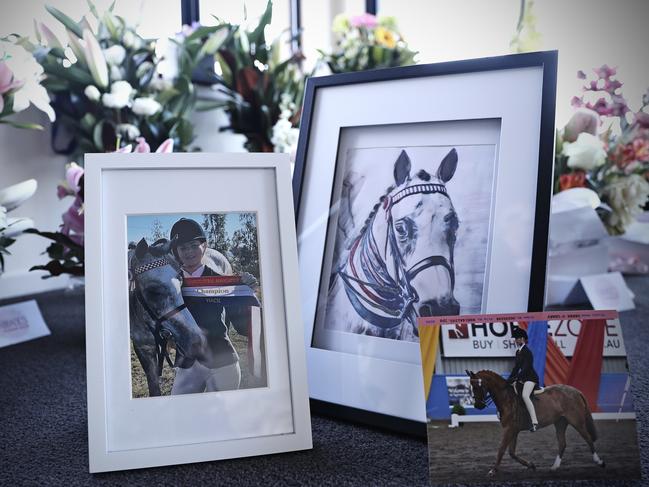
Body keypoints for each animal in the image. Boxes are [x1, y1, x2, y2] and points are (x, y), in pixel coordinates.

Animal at [466, 372, 604, 474]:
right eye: (471, 387)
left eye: (478, 386)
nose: (478, 406)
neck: (506, 398)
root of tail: (576, 391)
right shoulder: (513, 430)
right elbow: (511, 452)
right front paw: (531, 465)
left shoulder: (509, 429)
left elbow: (501, 449)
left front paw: (493, 470)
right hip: (560, 422)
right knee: (562, 443)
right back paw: (554, 467)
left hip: (576, 421)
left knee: (588, 438)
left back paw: (599, 462)